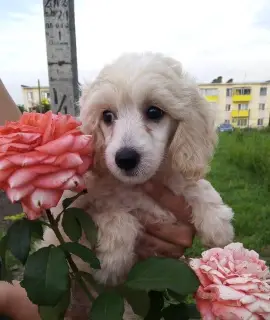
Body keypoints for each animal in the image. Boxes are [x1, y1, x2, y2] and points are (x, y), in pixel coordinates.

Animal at [42, 50, 234, 292]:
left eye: (154, 111)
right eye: (107, 116)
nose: (125, 159)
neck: (137, 186)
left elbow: (196, 185)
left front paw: (217, 224)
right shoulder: (72, 218)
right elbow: (112, 214)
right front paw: (111, 264)